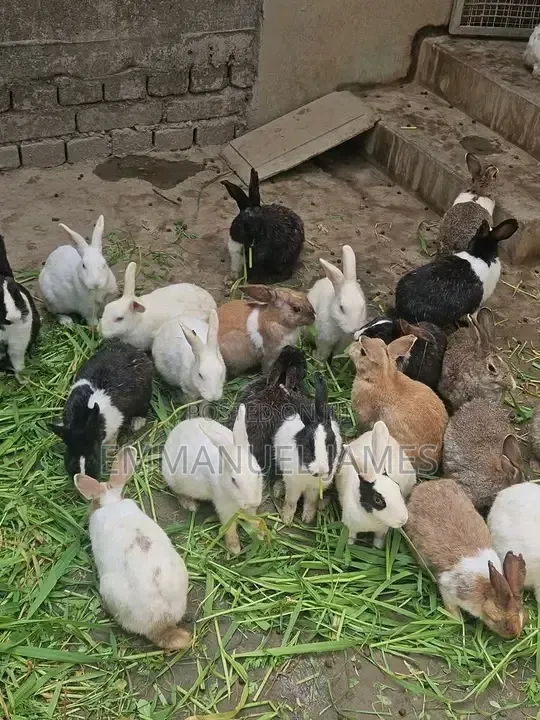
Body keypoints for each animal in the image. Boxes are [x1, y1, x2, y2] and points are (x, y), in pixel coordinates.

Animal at [50, 341, 153, 478]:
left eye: (93, 460)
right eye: (71, 458)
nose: (83, 475)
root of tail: (135, 350)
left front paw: (110, 451)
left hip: (144, 395)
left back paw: (137, 423)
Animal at [162, 405, 263, 555]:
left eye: (258, 473)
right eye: (233, 480)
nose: (253, 503)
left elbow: (253, 518)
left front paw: (260, 533)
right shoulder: (224, 507)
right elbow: (229, 526)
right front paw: (234, 548)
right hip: (174, 480)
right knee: (176, 492)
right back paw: (190, 505)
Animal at [405, 478, 527, 638]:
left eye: (522, 614)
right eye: (494, 619)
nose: (513, 635)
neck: (486, 587)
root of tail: (425, 485)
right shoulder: (448, 590)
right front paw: (458, 621)